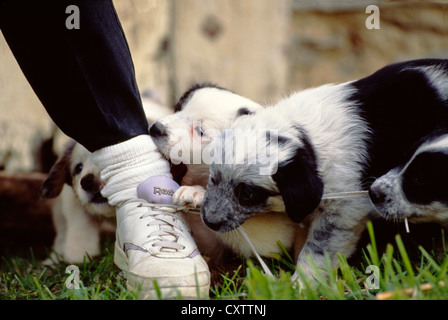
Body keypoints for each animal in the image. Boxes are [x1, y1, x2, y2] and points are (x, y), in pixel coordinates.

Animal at [202, 58, 448, 278]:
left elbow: (316, 251)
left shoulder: (344, 209)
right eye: (213, 179)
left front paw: (302, 283)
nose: (209, 222)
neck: (306, 136)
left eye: (248, 194)